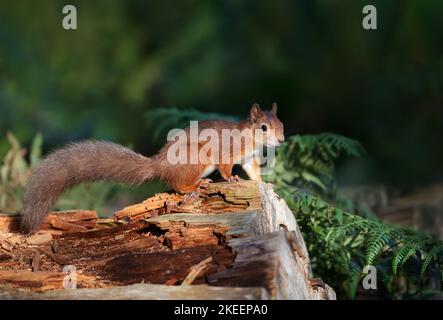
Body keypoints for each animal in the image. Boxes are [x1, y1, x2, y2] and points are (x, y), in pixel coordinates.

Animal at [20, 103, 284, 232]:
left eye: (281, 123)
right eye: (263, 127)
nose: (282, 140)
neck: (249, 138)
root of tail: (160, 164)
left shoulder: (249, 158)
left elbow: (253, 172)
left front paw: (266, 184)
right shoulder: (226, 151)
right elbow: (226, 167)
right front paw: (230, 180)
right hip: (197, 157)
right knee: (178, 185)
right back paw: (196, 185)